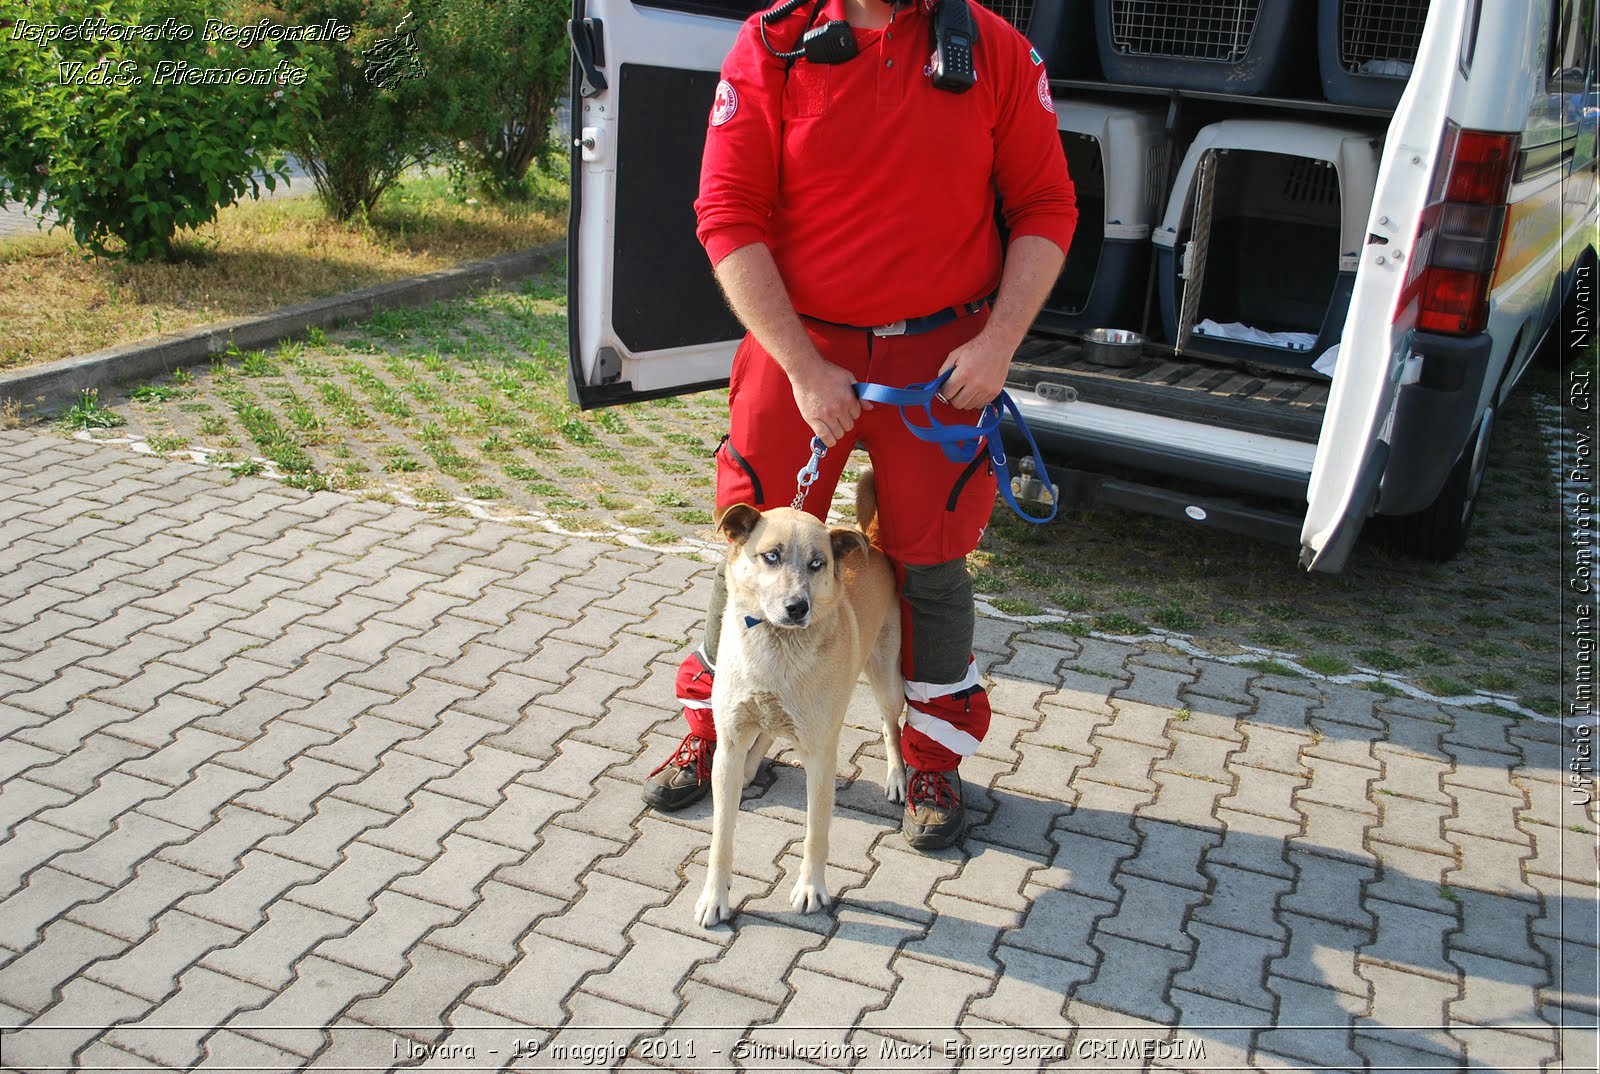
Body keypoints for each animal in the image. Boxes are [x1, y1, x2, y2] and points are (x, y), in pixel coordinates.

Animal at [694, 473, 908, 934]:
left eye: (817, 564)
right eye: (771, 556)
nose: (797, 607)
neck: (777, 646)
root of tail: (869, 541)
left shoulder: (822, 757)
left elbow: (816, 834)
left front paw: (811, 889)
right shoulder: (729, 744)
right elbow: (721, 838)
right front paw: (714, 898)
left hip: (887, 679)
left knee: (892, 727)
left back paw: (898, 778)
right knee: (766, 735)